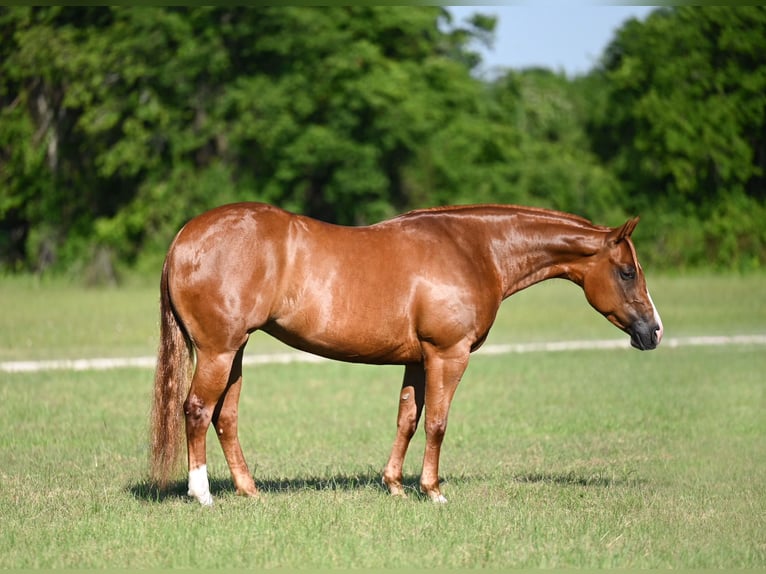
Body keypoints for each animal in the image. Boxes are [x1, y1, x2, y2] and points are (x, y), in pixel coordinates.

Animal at [149, 202, 663, 505]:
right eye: (627, 272)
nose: (654, 332)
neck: (473, 249)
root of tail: (183, 238)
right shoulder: (448, 355)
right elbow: (437, 422)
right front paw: (432, 491)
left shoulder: (417, 360)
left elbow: (408, 420)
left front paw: (394, 485)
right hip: (218, 351)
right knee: (196, 410)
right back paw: (202, 494)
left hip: (234, 353)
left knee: (225, 417)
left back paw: (250, 490)